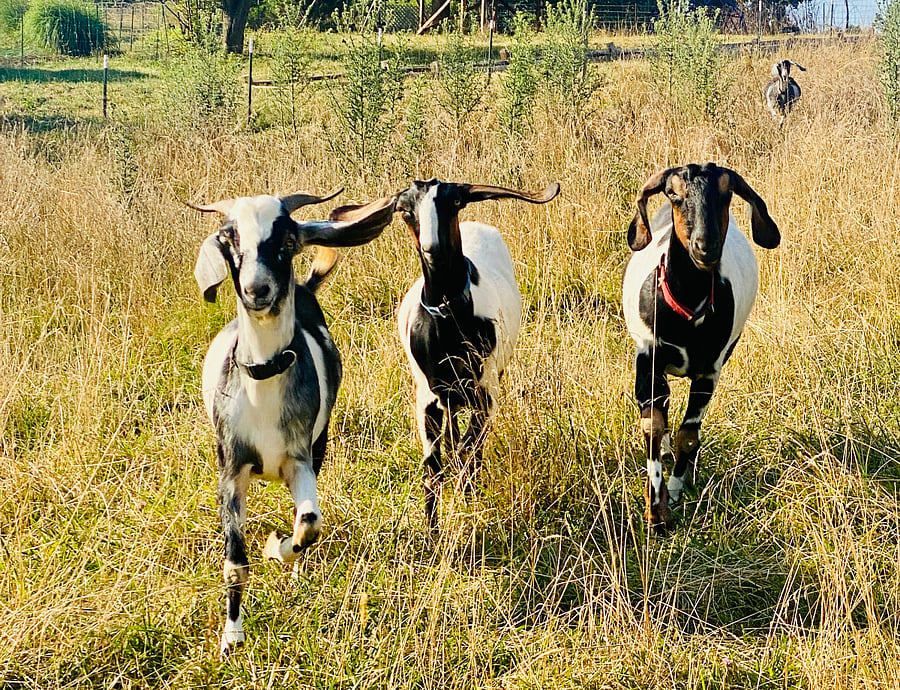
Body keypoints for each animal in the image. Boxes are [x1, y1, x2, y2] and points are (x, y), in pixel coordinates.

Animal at [190, 189, 394, 656]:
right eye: (230, 238)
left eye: (285, 240)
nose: (256, 289)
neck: (262, 380)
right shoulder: (231, 469)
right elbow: (235, 564)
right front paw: (231, 638)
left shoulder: (300, 458)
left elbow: (309, 523)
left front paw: (278, 550)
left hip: (320, 444)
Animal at [395, 179, 560, 532]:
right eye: (405, 211)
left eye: (455, 201)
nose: (432, 249)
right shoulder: (426, 400)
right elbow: (433, 468)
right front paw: (432, 532)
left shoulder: (486, 393)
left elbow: (467, 453)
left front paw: (469, 501)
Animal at [622, 163, 780, 529]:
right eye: (672, 192)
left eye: (727, 191)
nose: (705, 247)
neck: (687, 309)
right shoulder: (647, 360)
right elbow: (652, 425)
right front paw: (656, 511)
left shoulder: (709, 371)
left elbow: (689, 436)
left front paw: (674, 492)